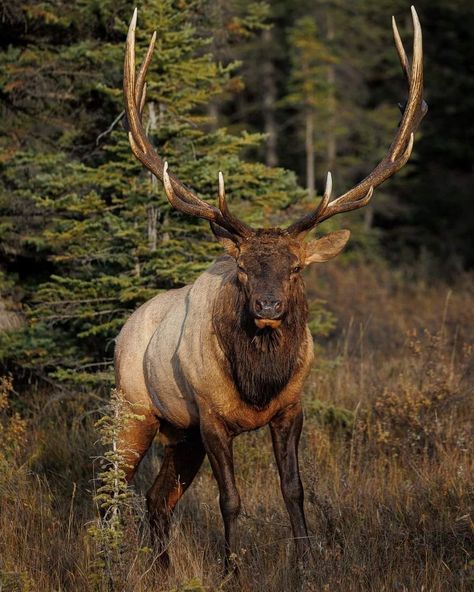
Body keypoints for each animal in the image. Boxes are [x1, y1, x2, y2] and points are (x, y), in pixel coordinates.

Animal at [115, 4, 426, 568]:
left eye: (297, 268)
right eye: (241, 269)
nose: (267, 304)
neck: (257, 385)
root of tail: (122, 330)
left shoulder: (290, 409)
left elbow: (293, 490)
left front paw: (306, 561)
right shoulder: (211, 419)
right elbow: (231, 500)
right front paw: (231, 567)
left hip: (179, 434)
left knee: (155, 498)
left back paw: (162, 566)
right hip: (135, 408)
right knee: (106, 485)